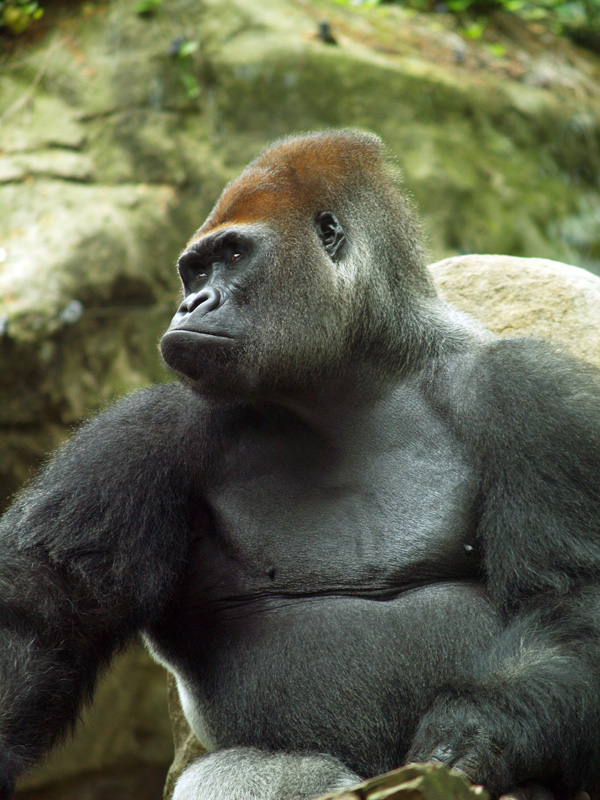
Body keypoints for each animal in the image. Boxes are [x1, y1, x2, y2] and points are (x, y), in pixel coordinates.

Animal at [0, 130, 599, 800]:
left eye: (233, 255)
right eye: (195, 270)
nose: (192, 303)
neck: (349, 382)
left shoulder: (534, 396)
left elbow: (570, 597)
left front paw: (481, 730)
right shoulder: (147, 432)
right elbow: (47, 606)